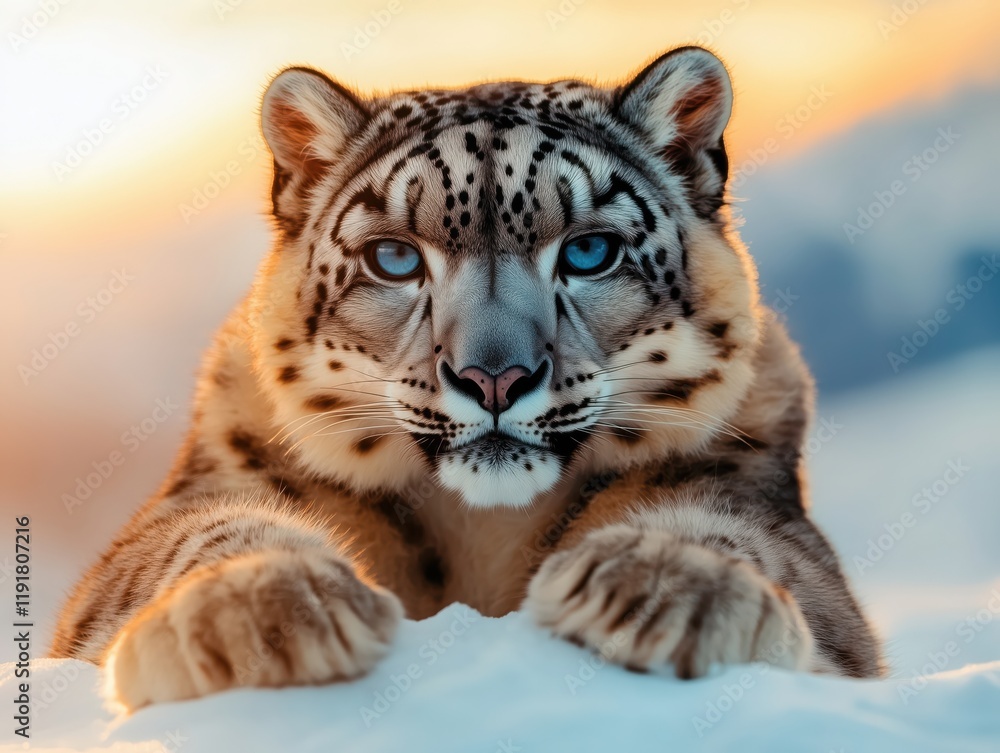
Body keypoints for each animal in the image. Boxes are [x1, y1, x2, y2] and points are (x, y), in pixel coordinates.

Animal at [51, 46, 883, 711]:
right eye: (393, 257)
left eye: (589, 252)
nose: (494, 377)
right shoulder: (221, 478)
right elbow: (192, 538)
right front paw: (255, 614)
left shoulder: (743, 481)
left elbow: (742, 537)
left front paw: (667, 592)